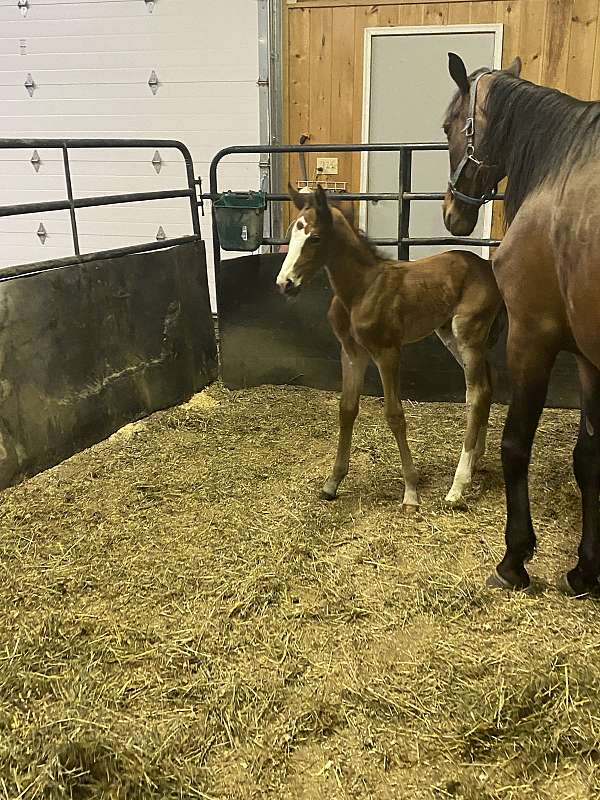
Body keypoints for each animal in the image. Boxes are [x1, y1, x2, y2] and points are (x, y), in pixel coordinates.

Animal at [276, 183, 502, 510]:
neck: (361, 289)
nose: (285, 283)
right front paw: (332, 483)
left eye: (315, 238)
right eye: (292, 234)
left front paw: (410, 491)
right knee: (488, 385)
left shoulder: (387, 352)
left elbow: (395, 415)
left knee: (477, 393)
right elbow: (347, 409)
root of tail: (486, 265)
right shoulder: (351, 352)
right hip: (451, 335)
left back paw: (458, 486)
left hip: (468, 335)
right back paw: (475, 463)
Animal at [442, 53, 600, 595]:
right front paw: (583, 569)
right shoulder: (589, 361)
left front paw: (514, 558)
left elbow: (514, 444)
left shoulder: (533, 336)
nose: (451, 214)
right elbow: (587, 459)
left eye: (447, 126)